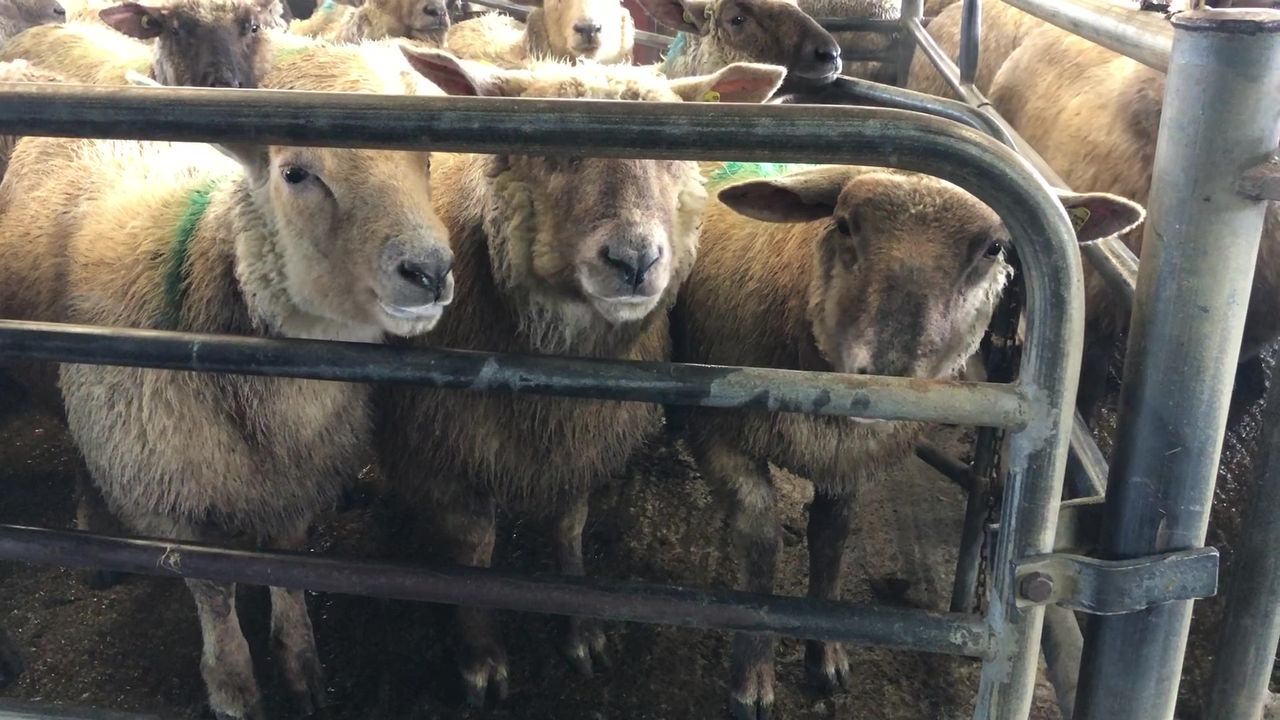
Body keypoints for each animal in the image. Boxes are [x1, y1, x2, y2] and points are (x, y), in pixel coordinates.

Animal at [0, 41, 454, 720]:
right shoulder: (166, 486)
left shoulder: (297, 478)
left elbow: (290, 567)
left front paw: (300, 666)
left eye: (427, 157)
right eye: (295, 174)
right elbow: (214, 590)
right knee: (82, 456)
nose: (430, 271)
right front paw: (234, 687)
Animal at [377, 47, 784, 708]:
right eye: (551, 150)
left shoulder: (581, 435)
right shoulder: (439, 444)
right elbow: (473, 546)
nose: (635, 261)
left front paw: (581, 629)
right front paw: (481, 657)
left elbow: (569, 525)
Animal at [674, 163, 1144, 720]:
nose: (887, 377)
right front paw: (752, 676)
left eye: (993, 248)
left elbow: (831, 538)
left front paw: (824, 650)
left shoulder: (852, 460)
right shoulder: (718, 435)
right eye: (845, 224)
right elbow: (761, 541)